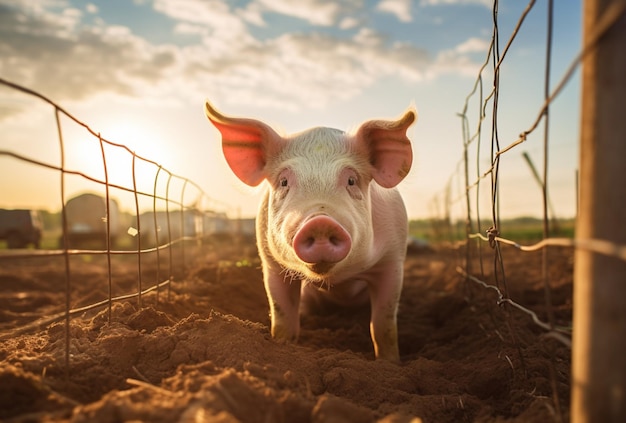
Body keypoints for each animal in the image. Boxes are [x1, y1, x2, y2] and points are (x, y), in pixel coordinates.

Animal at [205, 102, 416, 362]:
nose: (321, 222)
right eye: (284, 182)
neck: (336, 281)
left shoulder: (393, 260)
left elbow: (383, 325)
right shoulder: (271, 263)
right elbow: (282, 316)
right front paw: (282, 348)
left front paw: (390, 363)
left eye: (352, 180)